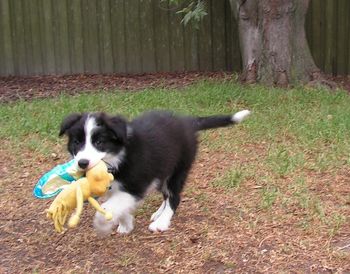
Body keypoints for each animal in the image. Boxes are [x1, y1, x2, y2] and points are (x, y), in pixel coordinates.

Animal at [60, 110, 252, 234]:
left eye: (99, 142)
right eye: (77, 142)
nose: (82, 163)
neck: (118, 157)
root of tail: (187, 122)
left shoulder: (135, 186)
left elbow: (109, 206)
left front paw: (103, 226)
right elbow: (116, 205)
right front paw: (126, 224)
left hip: (178, 169)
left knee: (174, 197)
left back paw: (162, 222)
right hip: (162, 170)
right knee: (166, 195)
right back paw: (159, 213)